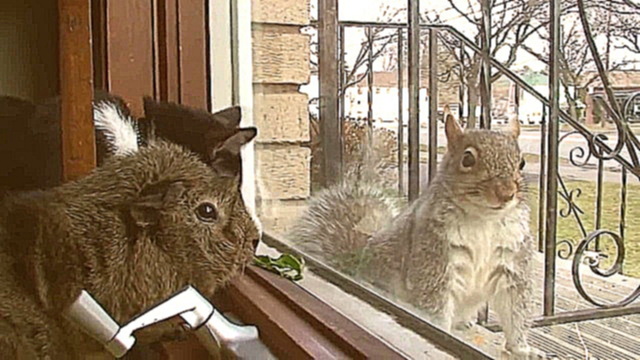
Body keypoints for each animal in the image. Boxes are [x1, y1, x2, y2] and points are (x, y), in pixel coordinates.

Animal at [292, 113, 544, 358]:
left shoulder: (514, 259)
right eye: (467, 159)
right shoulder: (435, 255)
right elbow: (434, 303)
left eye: (521, 162)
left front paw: (523, 349)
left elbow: (516, 309)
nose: (506, 193)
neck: (484, 219)